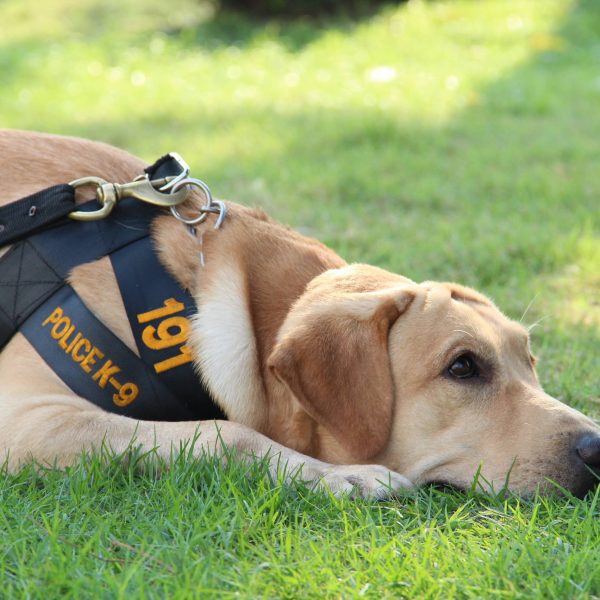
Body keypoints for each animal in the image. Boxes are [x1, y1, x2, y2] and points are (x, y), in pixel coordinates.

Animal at [1, 130, 600, 496]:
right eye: (463, 367)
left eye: (529, 362)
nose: (596, 448)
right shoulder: (23, 420)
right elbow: (226, 433)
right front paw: (340, 477)